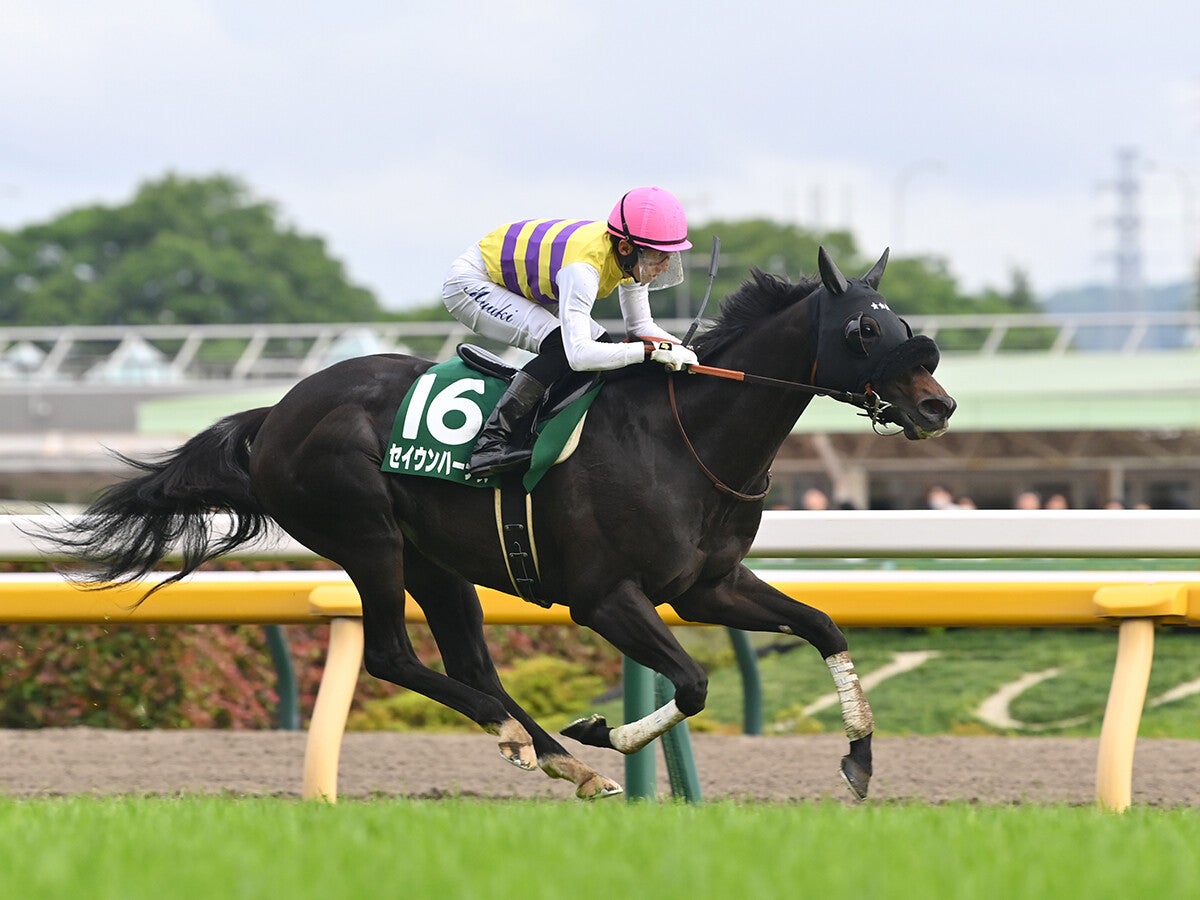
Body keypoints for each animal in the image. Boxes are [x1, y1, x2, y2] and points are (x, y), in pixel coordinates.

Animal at [43, 247, 955, 800]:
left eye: (904, 321)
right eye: (864, 326)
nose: (938, 405)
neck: (682, 436)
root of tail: (276, 413)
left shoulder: (708, 587)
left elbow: (825, 626)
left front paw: (859, 757)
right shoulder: (604, 597)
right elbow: (693, 684)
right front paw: (603, 728)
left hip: (435, 559)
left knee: (468, 660)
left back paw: (550, 753)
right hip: (367, 538)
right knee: (391, 654)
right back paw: (543, 743)